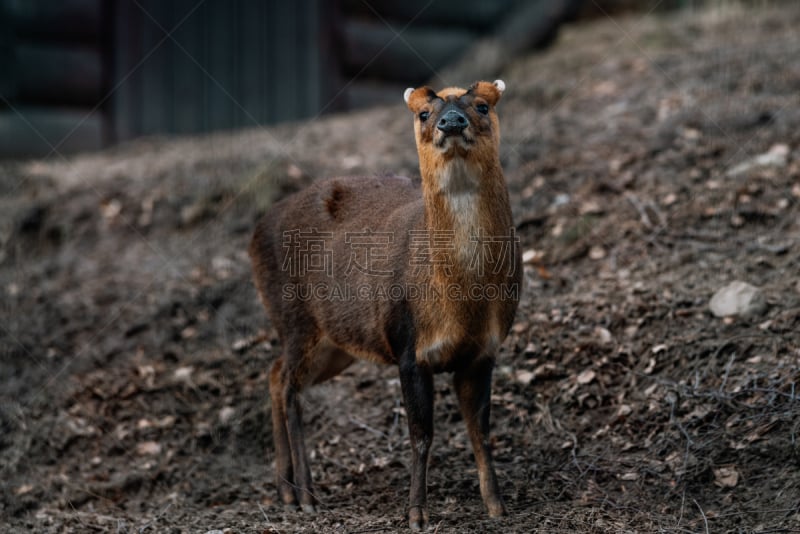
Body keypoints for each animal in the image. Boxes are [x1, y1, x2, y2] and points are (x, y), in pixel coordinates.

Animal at [252, 79, 524, 532]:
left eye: (483, 105)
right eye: (424, 113)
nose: (452, 121)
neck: (460, 301)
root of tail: (255, 230)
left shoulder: (483, 351)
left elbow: (481, 432)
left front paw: (498, 506)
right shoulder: (407, 344)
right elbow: (421, 433)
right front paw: (416, 513)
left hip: (336, 343)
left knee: (274, 375)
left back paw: (285, 491)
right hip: (294, 317)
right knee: (288, 385)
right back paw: (306, 495)